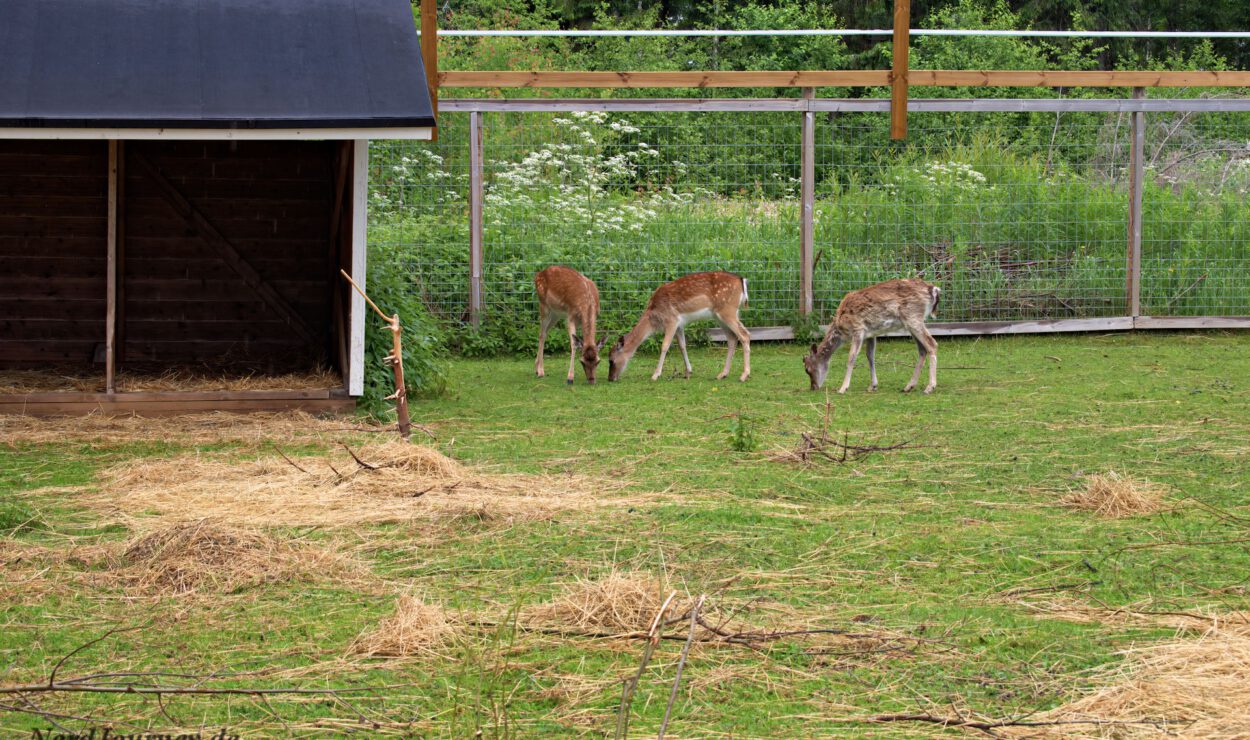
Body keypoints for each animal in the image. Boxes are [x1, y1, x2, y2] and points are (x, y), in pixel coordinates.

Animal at [607, 273, 750, 387]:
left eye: (611, 360)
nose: (610, 378)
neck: (654, 317)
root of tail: (741, 281)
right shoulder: (679, 325)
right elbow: (682, 346)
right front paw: (688, 372)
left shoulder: (671, 320)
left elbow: (665, 346)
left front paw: (655, 375)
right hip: (720, 315)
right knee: (732, 338)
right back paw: (722, 374)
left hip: (727, 310)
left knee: (745, 335)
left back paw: (744, 375)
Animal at [800, 276, 940, 392]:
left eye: (807, 369)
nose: (813, 387)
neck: (841, 328)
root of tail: (933, 289)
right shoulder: (871, 334)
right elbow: (870, 356)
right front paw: (873, 385)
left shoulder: (858, 329)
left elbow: (851, 357)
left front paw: (843, 388)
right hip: (912, 322)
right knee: (922, 349)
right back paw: (908, 386)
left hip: (913, 318)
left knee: (932, 344)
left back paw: (930, 387)